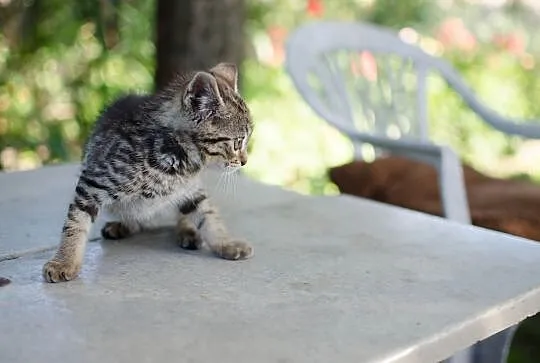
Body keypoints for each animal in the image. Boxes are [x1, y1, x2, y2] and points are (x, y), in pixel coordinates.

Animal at [43, 63, 254, 284]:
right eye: (237, 142)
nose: (245, 161)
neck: (175, 159)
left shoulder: (191, 190)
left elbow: (209, 216)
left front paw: (226, 243)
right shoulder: (93, 182)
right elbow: (75, 223)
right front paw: (64, 261)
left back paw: (187, 230)